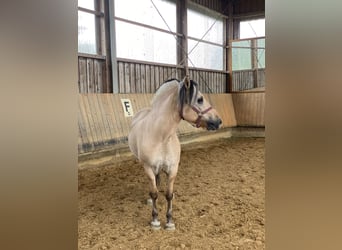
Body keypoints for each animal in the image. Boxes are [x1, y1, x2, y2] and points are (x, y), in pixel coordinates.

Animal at [127, 77, 222, 229]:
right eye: (200, 99)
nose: (218, 121)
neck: (161, 137)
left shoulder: (172, 169)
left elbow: (169, 195)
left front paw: (170, 221)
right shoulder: (148, 168)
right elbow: (154, 193)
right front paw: (155, 220)